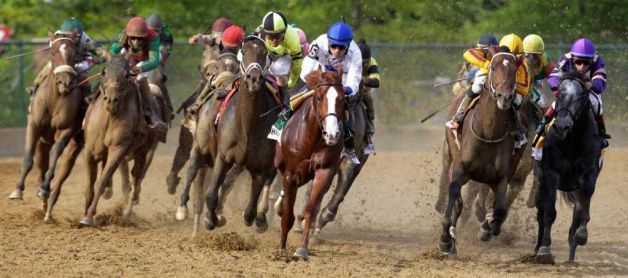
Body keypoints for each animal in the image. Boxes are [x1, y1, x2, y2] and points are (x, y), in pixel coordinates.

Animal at [78, 52, 166, 226]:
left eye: (126, 75)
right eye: (104, 72)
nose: (111, 100)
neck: (109, 117)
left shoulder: (118, 149)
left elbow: (102, 180)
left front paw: (88, 216)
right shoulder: (90, 150)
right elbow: (90, 185)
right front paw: (84, 214)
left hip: (143, 151)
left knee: (136, 179)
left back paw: (127, 213)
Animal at [274, 68, 344, 260]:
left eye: (342, 99)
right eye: (319, 97)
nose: (332, 134)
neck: (310, 138)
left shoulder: (324, 171)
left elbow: (310, 209)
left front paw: (302, 249)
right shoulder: (291, 174)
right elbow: (288, 215)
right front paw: (282, 248)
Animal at [436, 51, 520, 254]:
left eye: (515, 68)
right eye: (493, 67)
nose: (505, 96)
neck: (488, 134)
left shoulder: (500, 178)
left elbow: (499, 208)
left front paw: (487, 228)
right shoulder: (460, 169)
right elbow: (453, 192)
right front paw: (445, 238)